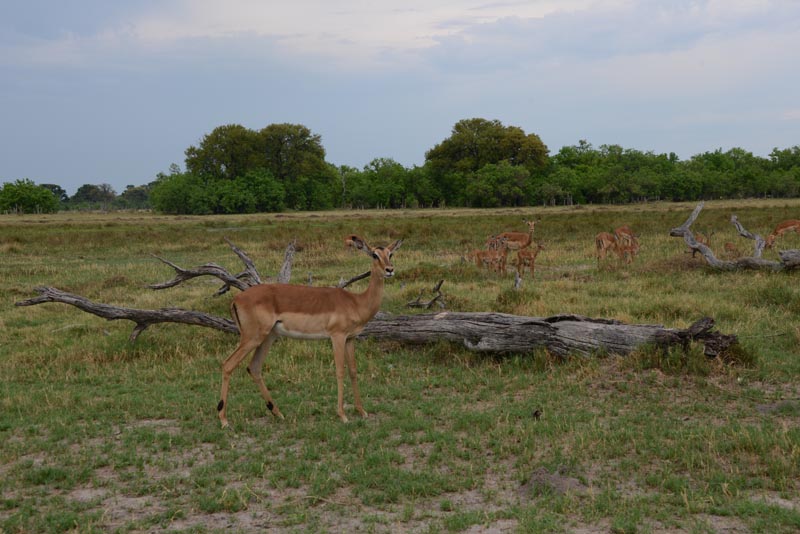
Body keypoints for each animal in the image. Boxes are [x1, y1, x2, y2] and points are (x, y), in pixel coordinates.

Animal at [217, 236, 401, 427]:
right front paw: (342, 415)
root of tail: (236, 299)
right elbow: (340, 371)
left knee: (254, 367)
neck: (356, 302)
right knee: (228, 364)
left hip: (268, 337)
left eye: (390, 254)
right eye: (374, 254)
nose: (390, 270)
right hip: (252, 338)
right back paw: (223, 419)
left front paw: (362, 411)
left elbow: (353, 371)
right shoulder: (337, 337)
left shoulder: (351, 339)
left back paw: (278, 413)